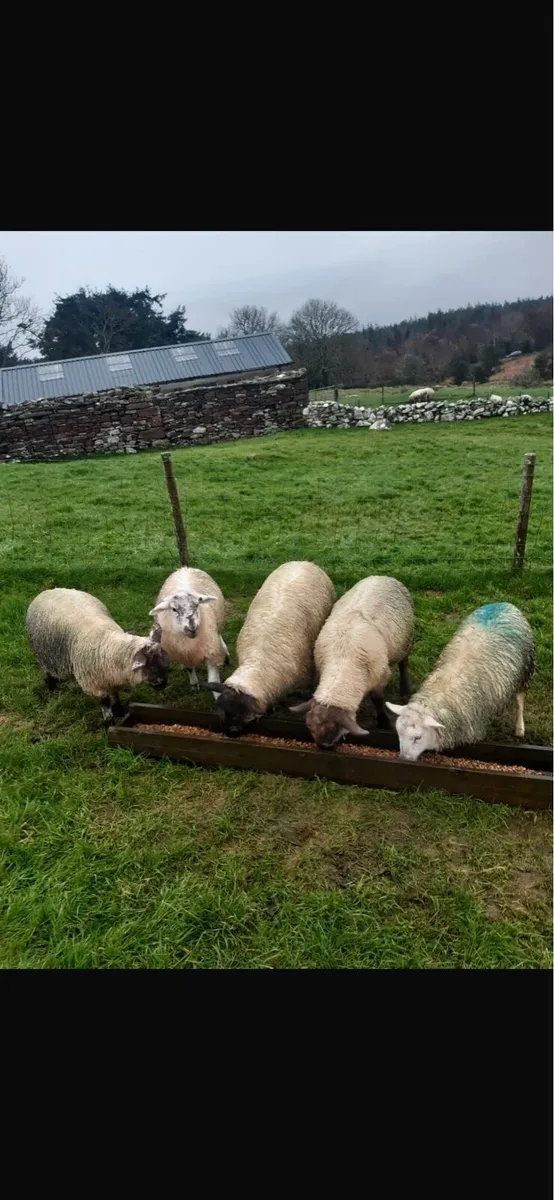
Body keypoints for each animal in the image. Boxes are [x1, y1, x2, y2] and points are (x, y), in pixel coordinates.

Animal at [26, 588, 169, 725]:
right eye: (150, 667)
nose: (164, 684)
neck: (108, 644)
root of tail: (49, 591)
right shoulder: (93, 683)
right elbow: (104, 702)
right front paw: (109, 721)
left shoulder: (111, 676)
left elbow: (115, 693)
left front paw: (119, 710)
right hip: (43, 653)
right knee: (46, 670)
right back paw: (51, 687)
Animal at [202, 561, 335, 737]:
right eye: (221, 711)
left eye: (240, 714)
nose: (230, 734)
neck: (259, 658)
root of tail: (303, 561)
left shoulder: (304, 664)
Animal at [290, 576, 414, 748]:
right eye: (309, 725)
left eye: (333, 728)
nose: (323, 746)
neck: (343, 660)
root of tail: (380, 576)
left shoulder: (380, 675)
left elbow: (377, 699)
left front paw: (384, 722)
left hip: (406, 641)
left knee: (404, 663)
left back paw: (405, 689)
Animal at [386, 602, 535, 762]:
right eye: (399, 733)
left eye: (418, 738)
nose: (403, 759)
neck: (442, 690)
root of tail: (503, 603)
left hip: (526, 670)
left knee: (519, 701)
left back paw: (519, 728)